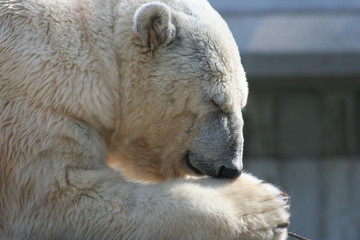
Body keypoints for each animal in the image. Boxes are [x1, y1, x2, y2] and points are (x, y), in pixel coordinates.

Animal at [0, 0, 288, 239]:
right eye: (217, 101)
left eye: (243, 102)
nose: (231, 167)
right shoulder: (34, 100)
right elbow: (59, 200)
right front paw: (267, 205)